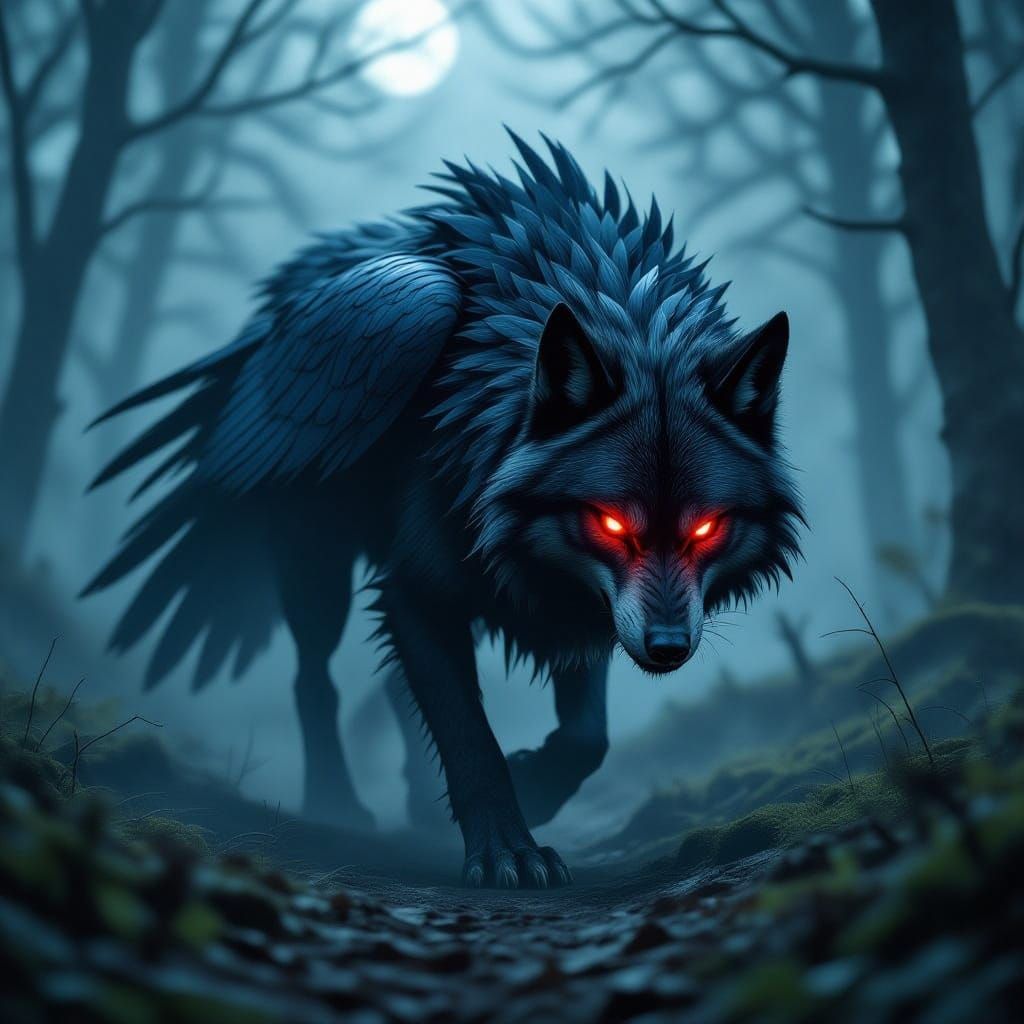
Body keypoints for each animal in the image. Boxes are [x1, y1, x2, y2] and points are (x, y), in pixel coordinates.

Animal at [85, 132, 803, 888]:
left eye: (707, 526)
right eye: (609, 522)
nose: (668, 648)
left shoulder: (582, 603)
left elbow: (588, 736)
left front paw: (537, 787)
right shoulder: (417, 588)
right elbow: (466, 731)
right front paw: (508, 848)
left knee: (388, 690)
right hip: (314, 544)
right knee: (314, 676)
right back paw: (335, 804)